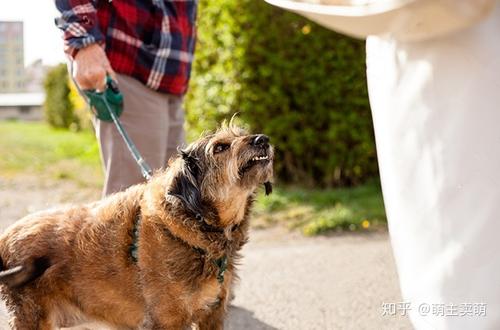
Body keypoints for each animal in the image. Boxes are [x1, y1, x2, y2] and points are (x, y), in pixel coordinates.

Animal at [0, 125, 274, 328]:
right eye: (220, 147)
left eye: (242, 133)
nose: (263, 139)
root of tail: (5, 238)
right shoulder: (168, 320)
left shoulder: (213, 315)